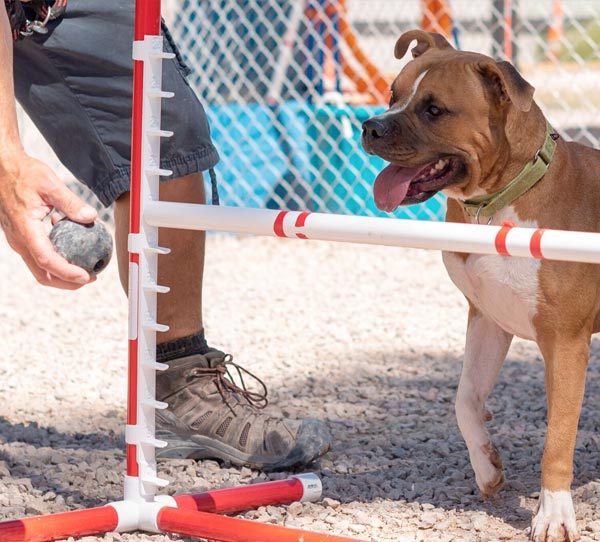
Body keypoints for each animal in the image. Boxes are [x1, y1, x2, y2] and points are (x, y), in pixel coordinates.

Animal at [360, 29, 600, 542]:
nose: (370, 126)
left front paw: (553, 514)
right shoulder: (488, 318)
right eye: (392, 95)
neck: (503, 199)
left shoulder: (565, 343)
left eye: (434, 109)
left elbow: (557, 439)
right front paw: (487, 467)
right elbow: (465, 401)